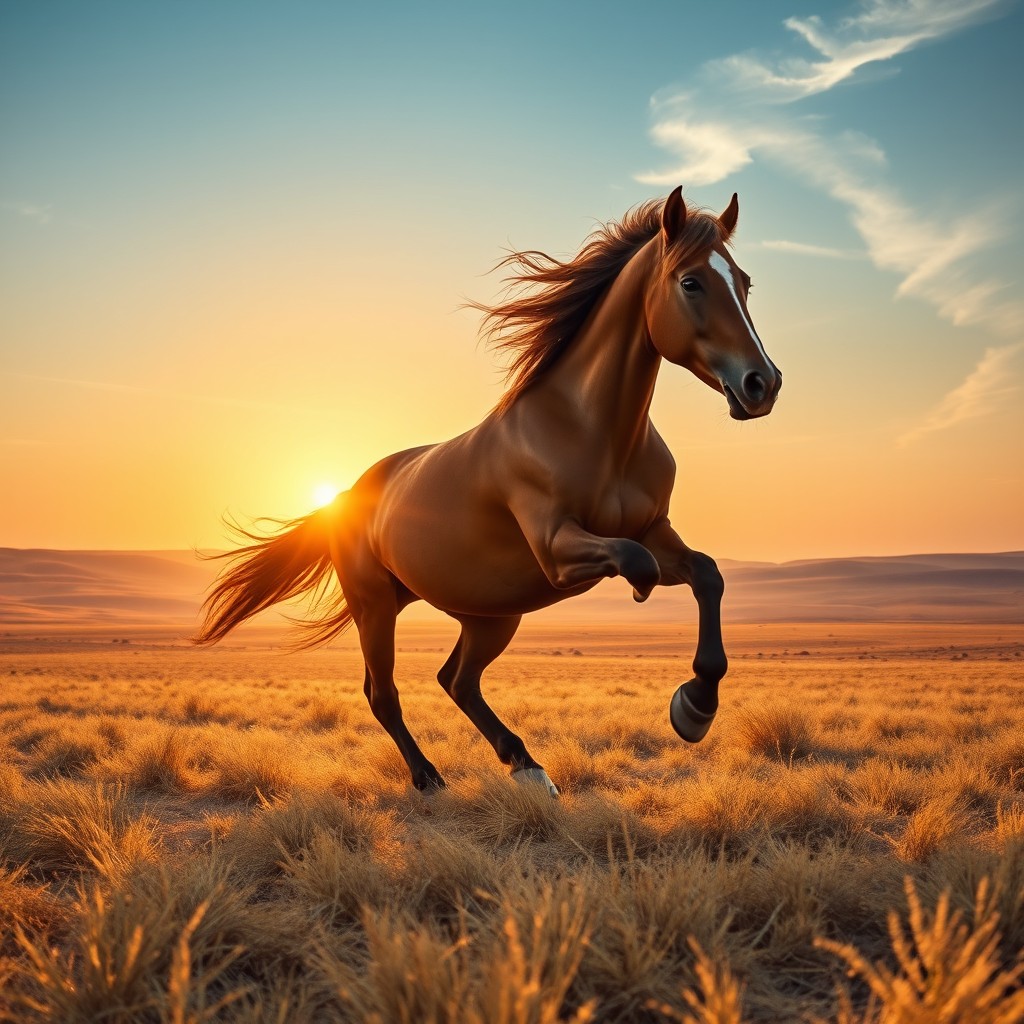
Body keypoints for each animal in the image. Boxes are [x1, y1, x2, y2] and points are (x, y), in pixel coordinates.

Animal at [194, 187, 782, 796]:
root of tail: (344, 497)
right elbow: (636, 564)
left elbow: (707, 574)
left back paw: (527, 765)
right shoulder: (558, 551)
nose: (762, 384)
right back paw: (429, 777)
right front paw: (684, 693)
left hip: (489, 615)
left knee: (457, 679)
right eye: (691, 282)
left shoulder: (655, 531)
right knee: (385, 693)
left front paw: (696, 709)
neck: (591, 430)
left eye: (744, 282)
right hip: (375, 604)